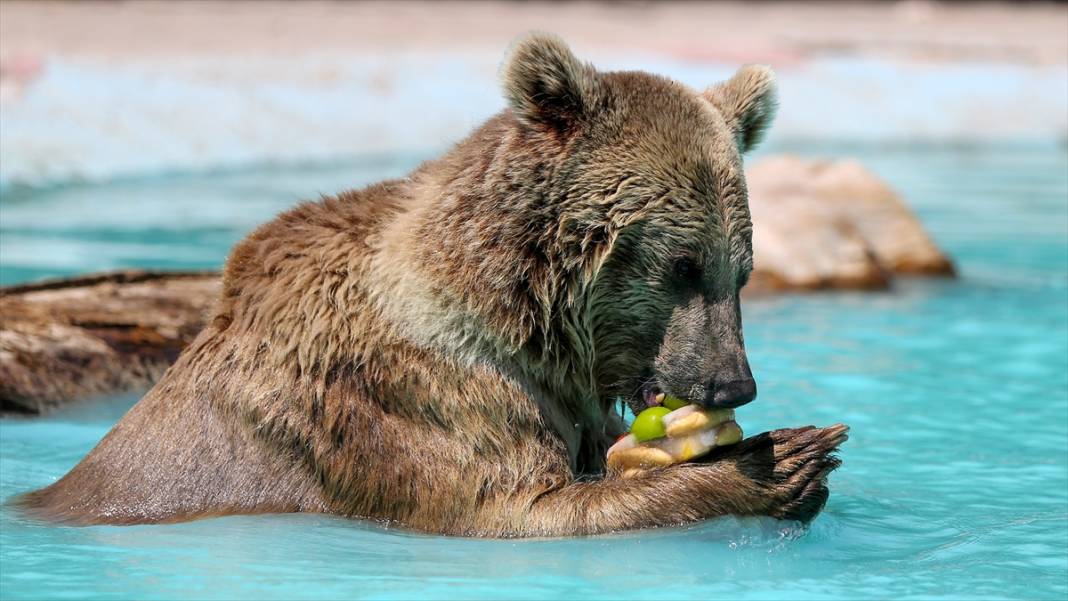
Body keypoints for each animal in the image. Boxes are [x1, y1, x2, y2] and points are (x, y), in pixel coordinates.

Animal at [16, 35, 845, 538]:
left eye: (740, 269)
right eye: (680, 263)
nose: (731, 381)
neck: (525, 309)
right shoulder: (426, 390)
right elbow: (520, 507)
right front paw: (784, 459)